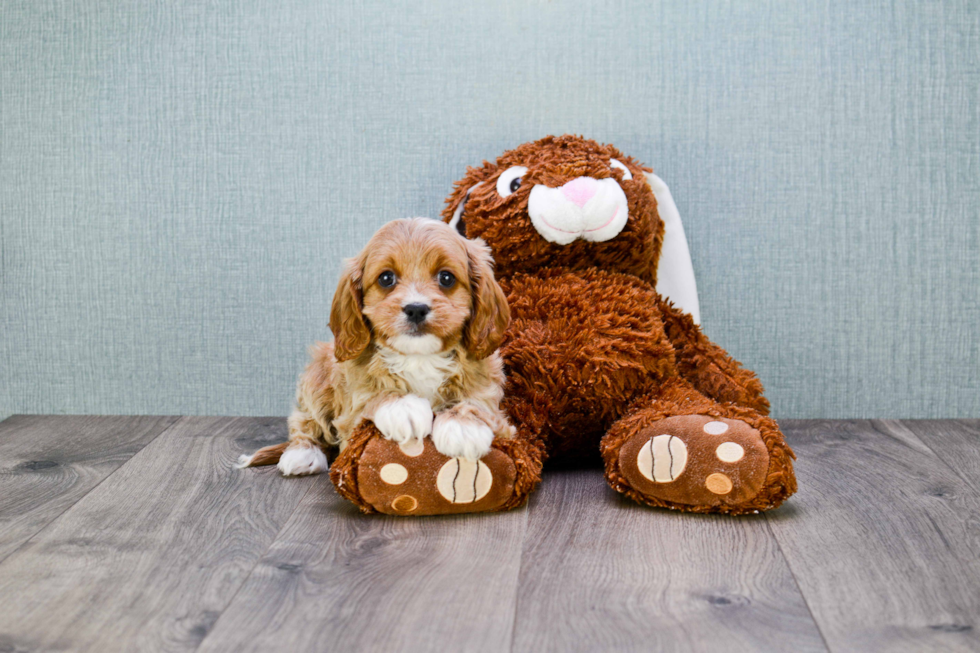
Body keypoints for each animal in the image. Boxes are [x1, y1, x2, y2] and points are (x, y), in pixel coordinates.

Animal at [238, 216, 512, 476]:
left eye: (446, 278)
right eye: (386, 278)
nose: (416, 308)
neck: (419, 356)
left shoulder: (489, 386)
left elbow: (478, 401)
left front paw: (464, 427)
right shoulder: (351, 408)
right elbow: (372, 395)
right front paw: (403, 407)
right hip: (316, 377)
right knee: (305, 422)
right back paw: (302, 453)